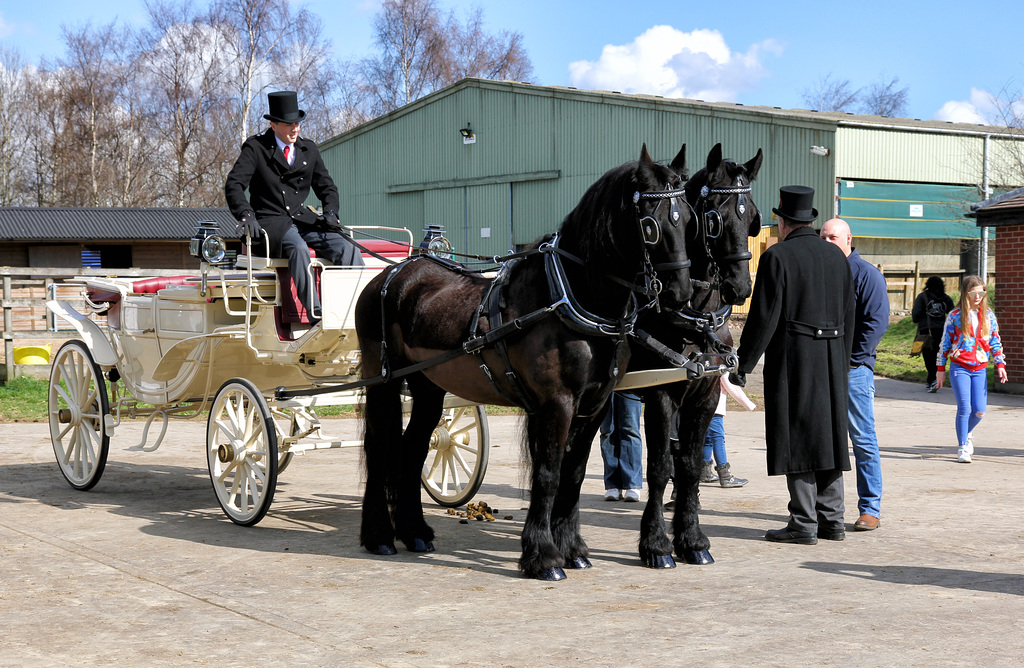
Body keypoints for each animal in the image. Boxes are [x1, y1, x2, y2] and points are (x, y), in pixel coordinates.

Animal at [354, 144, 696, 577]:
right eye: (650, 226)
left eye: (688, 221)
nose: (680, 295)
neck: (571, 296)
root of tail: (394, 273)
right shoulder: (557, 403)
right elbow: (548, 474)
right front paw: (543, 555)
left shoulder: (595, 405)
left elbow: (574, 473)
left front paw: (572, 548)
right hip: (382, 380)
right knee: (381, 447)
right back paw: (380, 535)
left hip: (428, 385)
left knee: (413, 448)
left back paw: (415, 532)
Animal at [622, 142, 761, 569]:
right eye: (712, 219)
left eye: (752, 215)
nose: (739, 287)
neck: (693, 319)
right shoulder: (661, 395)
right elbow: (660, 465)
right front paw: (655, 544)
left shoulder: (705, 394)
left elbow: (689, 464)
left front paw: (692, 537)